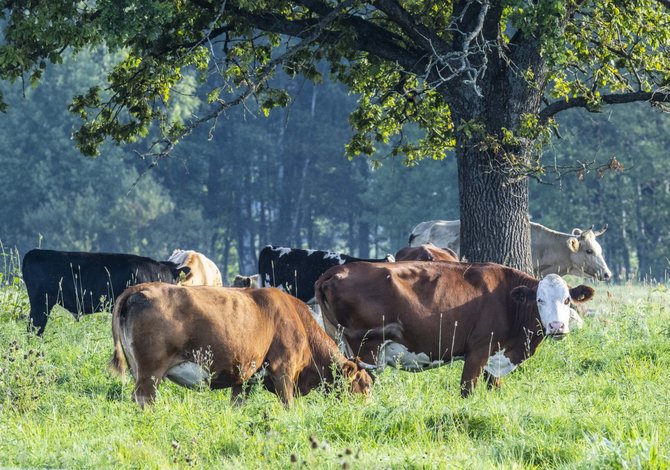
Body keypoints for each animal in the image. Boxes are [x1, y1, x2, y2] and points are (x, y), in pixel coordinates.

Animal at [110, 282, 372, 408]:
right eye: (365, 384)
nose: (368, 410)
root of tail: (140, 288)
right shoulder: (284, 371)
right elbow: (289, 406)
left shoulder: (244, 380)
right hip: (151, 372)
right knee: (145, 399)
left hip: (138, 370)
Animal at [318, 260, 596, 396]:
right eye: (540, 300)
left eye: (567, 300)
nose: (557, 326)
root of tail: (337, 270)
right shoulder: (478, 351)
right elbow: (467, 390)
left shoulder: (495, 356)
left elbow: (495, 388)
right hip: (367, 349)